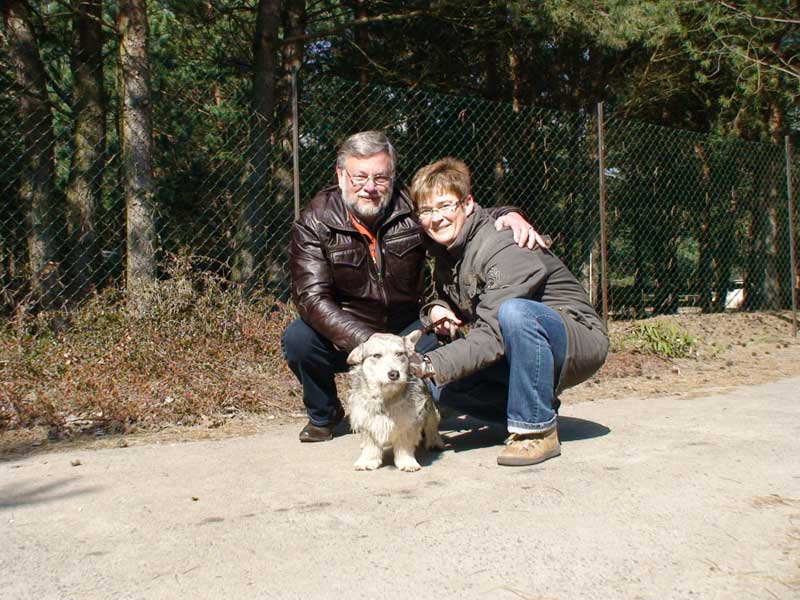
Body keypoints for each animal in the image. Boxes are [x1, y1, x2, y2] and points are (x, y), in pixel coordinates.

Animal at [346, 330, 444, 472]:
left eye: (399, 354)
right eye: (376, 355)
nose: (394, 374)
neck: (387, 396)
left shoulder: (408, 419)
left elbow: (404, 444)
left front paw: (407, 461)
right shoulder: (367, 419)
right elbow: (371, 444)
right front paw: (367, 460)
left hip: (428, 405)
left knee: (431, 424)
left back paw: (434, 441)